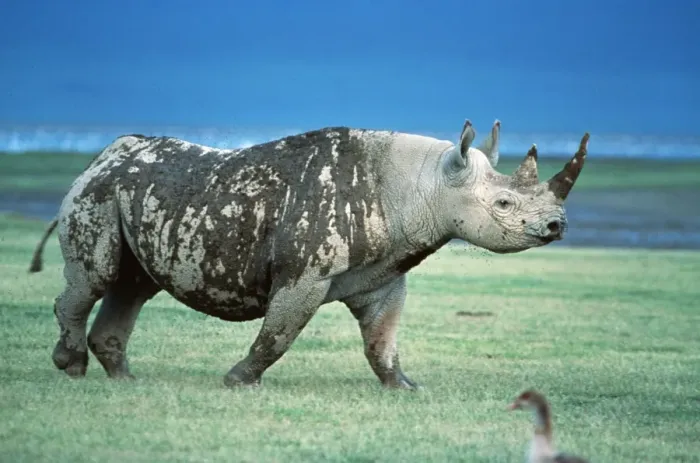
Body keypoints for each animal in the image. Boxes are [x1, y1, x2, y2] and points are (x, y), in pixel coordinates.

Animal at [29, 119, 589, 390]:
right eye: (504, 203)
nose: (556, 226)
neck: (422, 183)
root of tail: (101, 156)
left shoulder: (384, 273)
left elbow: (382, 339)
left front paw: (406, 388)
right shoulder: (305, 273)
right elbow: (279, 333)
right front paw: (237, 382)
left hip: (134, 195)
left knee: (132, 286)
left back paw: (123, 380)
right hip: (99, 193)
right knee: (98, 278)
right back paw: (71, 366)